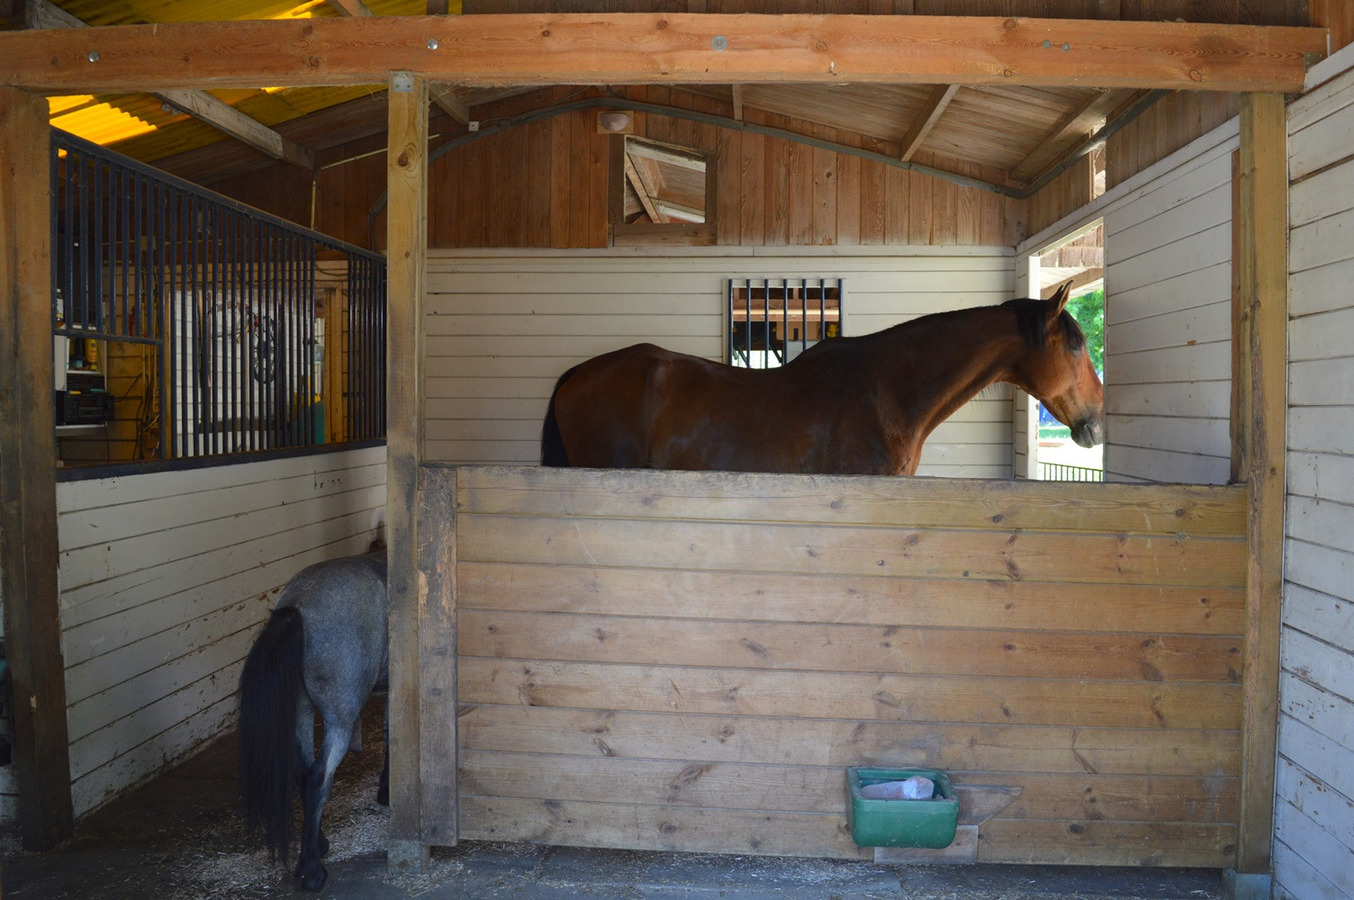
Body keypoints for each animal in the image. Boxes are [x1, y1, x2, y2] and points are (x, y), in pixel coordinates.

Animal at [235, 552, 387, 887]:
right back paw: (311, 870)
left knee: (302, 774)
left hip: (301, 714)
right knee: (317, 778)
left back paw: (318, 844)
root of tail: (298, 608)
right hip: (340, 718)